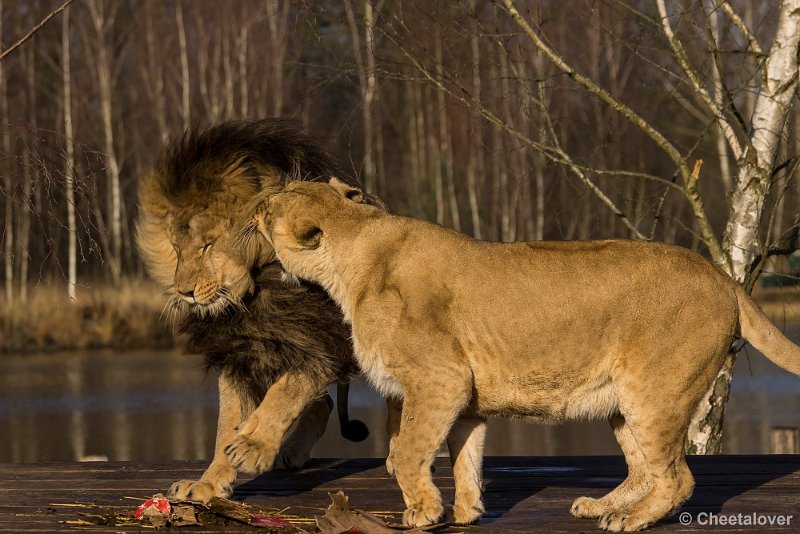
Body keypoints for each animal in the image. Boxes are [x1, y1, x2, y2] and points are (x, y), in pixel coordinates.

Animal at [136, 120, 374, 502]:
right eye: (176, 247)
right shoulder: (239, 356)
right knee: (323, 403)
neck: (255, 294)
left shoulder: (319, 344)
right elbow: (227, 423)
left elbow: (284, 393)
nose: (184, 292)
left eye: (206, 246)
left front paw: (253, 448)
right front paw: (209, 483)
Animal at [253, 179, 800, 532]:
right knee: (645, 469)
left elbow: (407, 451)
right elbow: (464, 457)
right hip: (623, 401)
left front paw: (423, 512)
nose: (256, 200)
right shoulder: (463, 396)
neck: (351, 253)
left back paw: (628, 519)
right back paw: (599, 506)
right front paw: (468, 512)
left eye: (274, 201)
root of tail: (723, 277)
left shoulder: (440, 378)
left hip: (655, 391)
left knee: (678, 477)